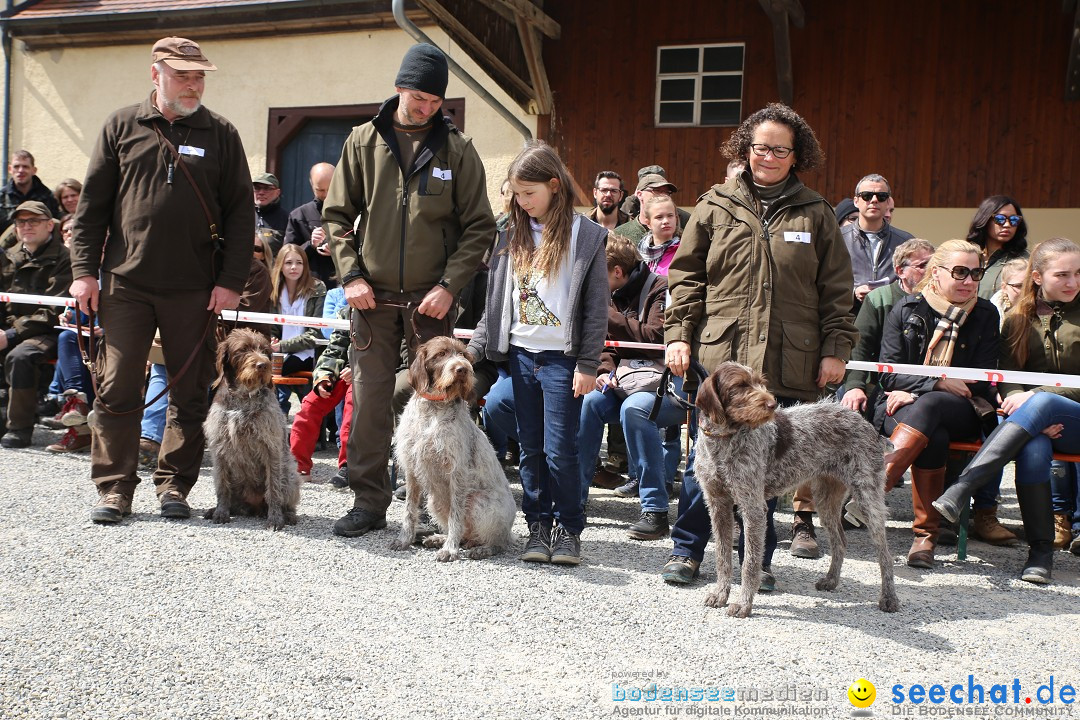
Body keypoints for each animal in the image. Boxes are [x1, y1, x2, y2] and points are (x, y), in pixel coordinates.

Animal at [203, 330, 300, 533]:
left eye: (264, 350)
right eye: (242, 349)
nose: (263, 365)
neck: (243, 396)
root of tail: (253, 507)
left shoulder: (271, 448)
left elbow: (273, 488)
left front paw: (275, 519)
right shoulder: (219, 447)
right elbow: (223, 487)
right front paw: (221, 512)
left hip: (290, 476)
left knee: (284, 496)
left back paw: (287, 515)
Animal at [390, 334, 516, 561]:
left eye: (464, 355)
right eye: (440, 354)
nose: (462, 369)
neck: (433, 409)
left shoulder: (457, 472)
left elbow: (456, 516)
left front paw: (450, 549)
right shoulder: (412, 470)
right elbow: (409, 510)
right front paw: (404, 539)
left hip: (479, 503)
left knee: (499, 542)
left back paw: (482, 549)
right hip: (434, 501)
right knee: (465, 534)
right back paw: (440, 538)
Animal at [695, 362, 898, 617]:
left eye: (760, 382)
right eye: (739, 385)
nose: (772, 404)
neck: (724, 438)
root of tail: (870, 428)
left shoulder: (753, 508)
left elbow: (749, 562)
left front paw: (744, 604)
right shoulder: (718, 505)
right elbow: (723, 558)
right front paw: (720, 594)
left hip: (867, 498)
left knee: (885, 554)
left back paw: (889, 598)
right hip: (826, 500)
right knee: (840, 541)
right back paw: (831, 581)